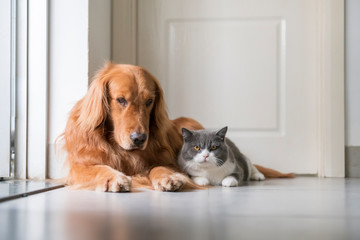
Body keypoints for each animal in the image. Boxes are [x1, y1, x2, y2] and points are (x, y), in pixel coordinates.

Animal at [60, 63, 204, 191]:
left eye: (149, 101)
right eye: (121, 99)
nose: (139, 139)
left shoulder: (167, 160)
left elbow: (160, 166)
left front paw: (168, 176)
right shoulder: (78, 167)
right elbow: (97, 168)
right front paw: (114, 177)